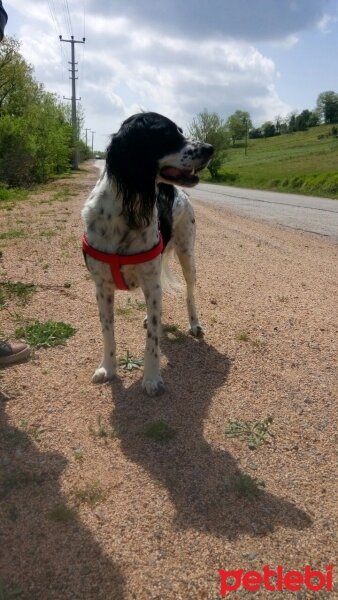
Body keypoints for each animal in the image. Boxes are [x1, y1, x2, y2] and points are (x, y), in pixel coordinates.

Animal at [82, 110, 213, 396]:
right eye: (167, 134)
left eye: (181, 130)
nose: (211, 148)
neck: (128, 207)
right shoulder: (101, 288)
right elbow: (108, 332)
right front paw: (108, 368)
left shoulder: (152, 285)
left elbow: (152, 338)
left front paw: (152, 378)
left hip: (187, 255)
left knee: (190, 292)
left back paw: (194, 324)